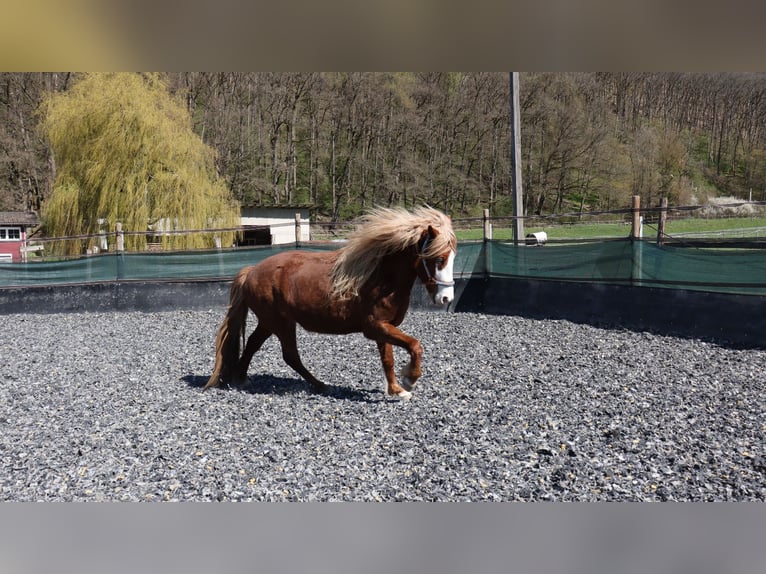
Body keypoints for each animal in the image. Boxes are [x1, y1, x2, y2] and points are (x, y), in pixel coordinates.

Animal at [203, 206, 457, 399]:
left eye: (452, 257)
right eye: (438, 258)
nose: (446, 299)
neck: (382, 277)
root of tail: (252, 271)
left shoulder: (384, 327)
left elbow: (388, 359)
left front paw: (396, 390)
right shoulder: (375, 326)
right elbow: (415, 345)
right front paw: (409, 380)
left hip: (269, 323)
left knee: (253, 345)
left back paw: (241, 378)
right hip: (281, 324)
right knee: (290, 355)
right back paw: (320, 385)